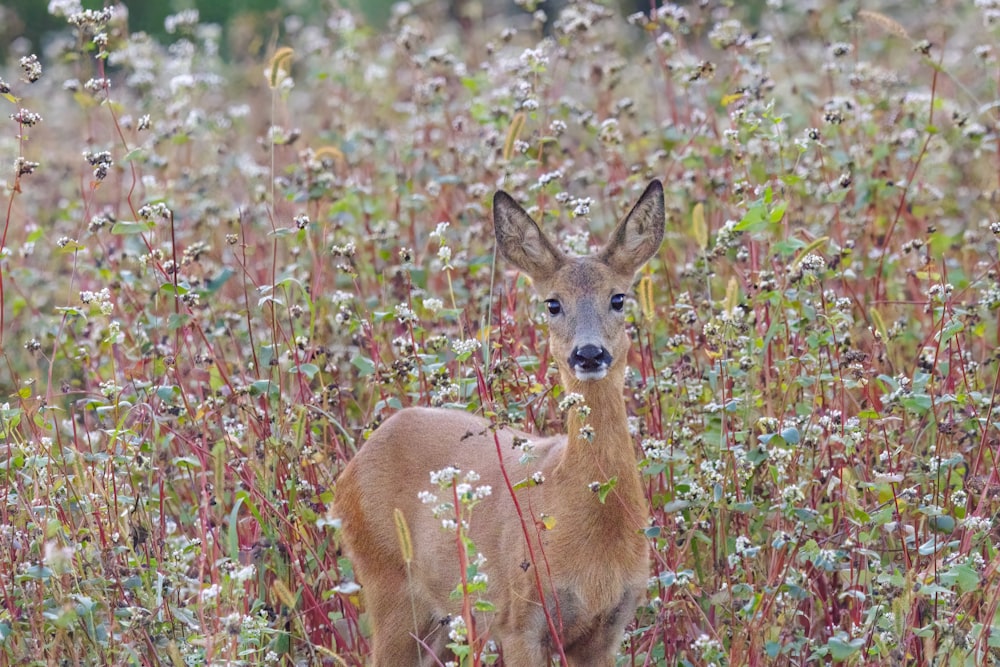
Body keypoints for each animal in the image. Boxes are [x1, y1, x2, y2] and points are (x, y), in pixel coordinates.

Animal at [332, 180, 668, 664]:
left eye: (618, 298)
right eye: (553, 303)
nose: (588, 353)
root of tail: (347, 473)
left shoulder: (609, 628)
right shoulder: (518, 618)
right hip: (388, 582)